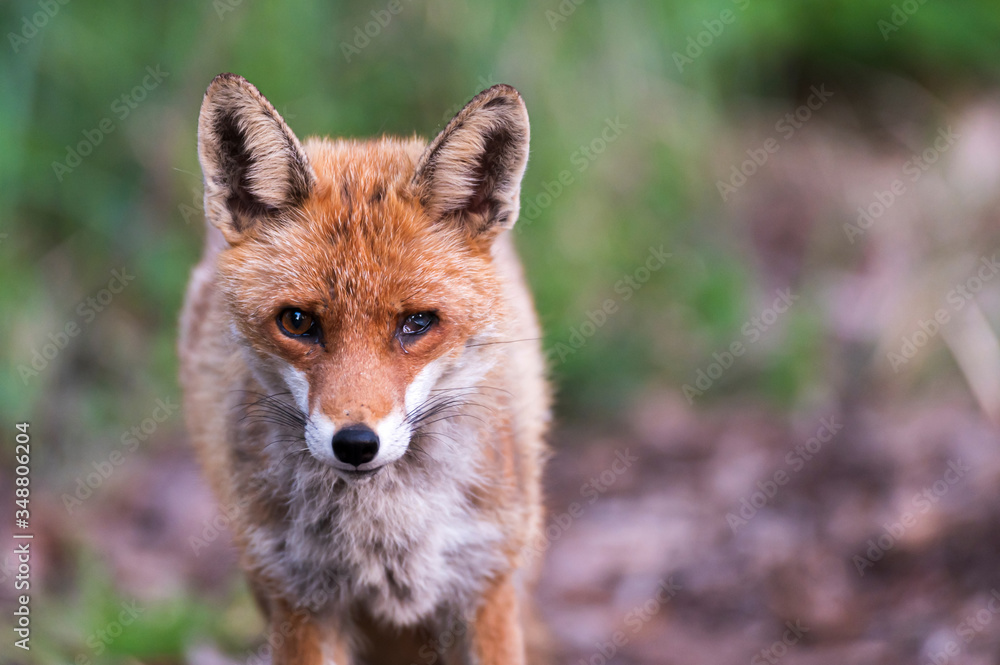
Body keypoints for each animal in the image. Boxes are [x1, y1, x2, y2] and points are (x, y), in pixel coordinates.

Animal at [182, 75, 556, 660]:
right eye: (297, 322)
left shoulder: (485, 585)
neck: (385, 535)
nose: (356, 444)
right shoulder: (302, 599)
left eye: (417, 323)